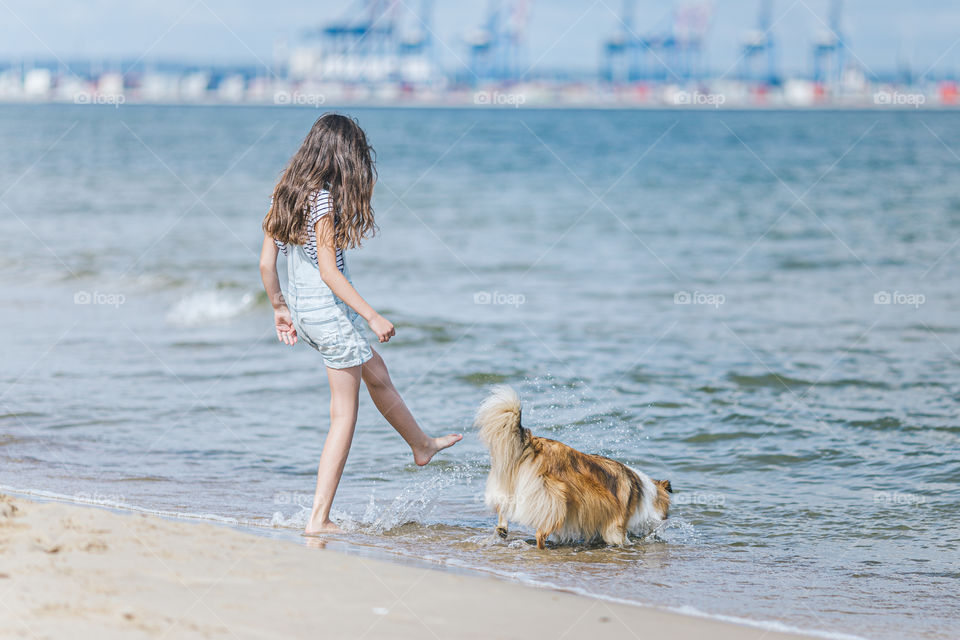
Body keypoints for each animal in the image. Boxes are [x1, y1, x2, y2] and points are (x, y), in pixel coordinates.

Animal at [476, 388, 672, 548]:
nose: (663, 528)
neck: (644, 494)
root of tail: (533, 443)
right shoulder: (615, 525)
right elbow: (619, 538)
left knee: (502, 509)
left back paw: (502, 529)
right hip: (556, 503)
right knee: (540, 534)